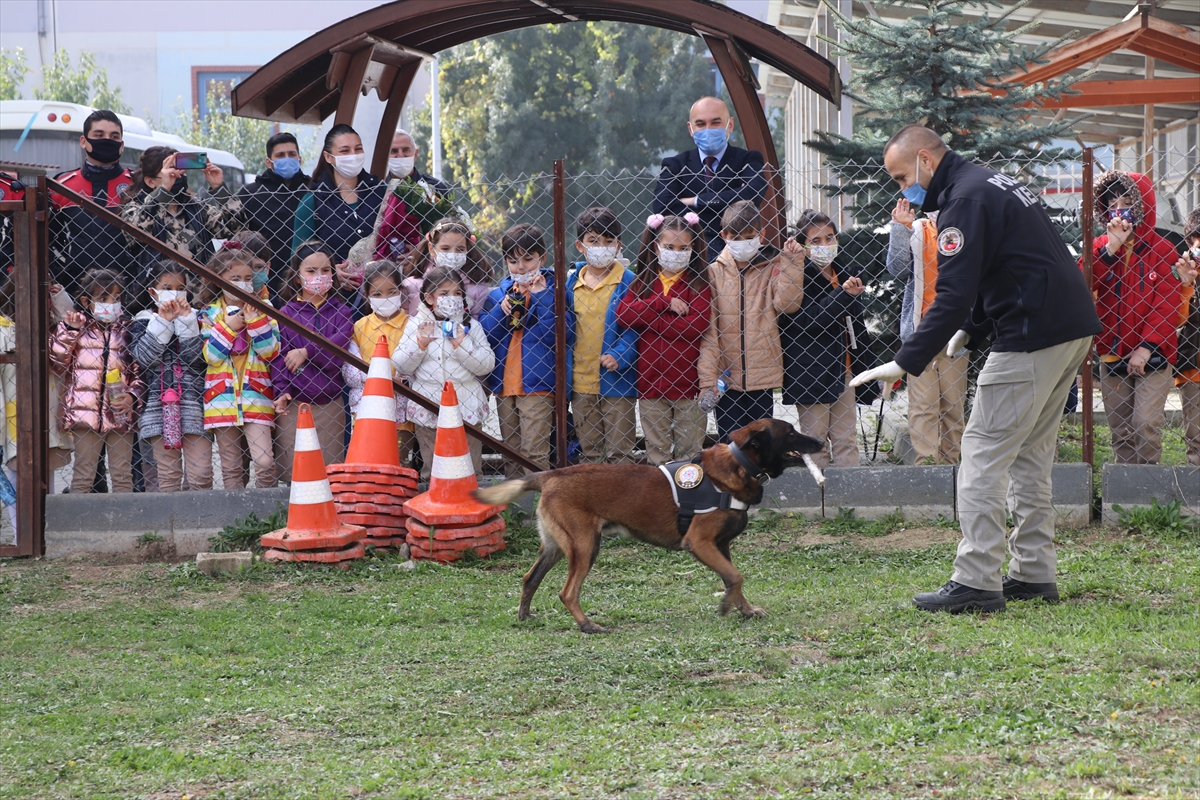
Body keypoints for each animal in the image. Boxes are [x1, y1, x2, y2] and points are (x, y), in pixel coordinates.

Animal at [470, 419, 825, 633]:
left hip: (556, 546)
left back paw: (525, 616)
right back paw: (587, 625)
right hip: (585, 546)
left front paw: (745, 610)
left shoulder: (720, 546)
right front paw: (728, 606)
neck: (739, 464)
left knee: (529, 579)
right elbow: (736, 577)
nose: (821, 442)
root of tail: (550, 475)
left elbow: (732, 579)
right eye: (790, 433)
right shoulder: (700, 543)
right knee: (567, 591)